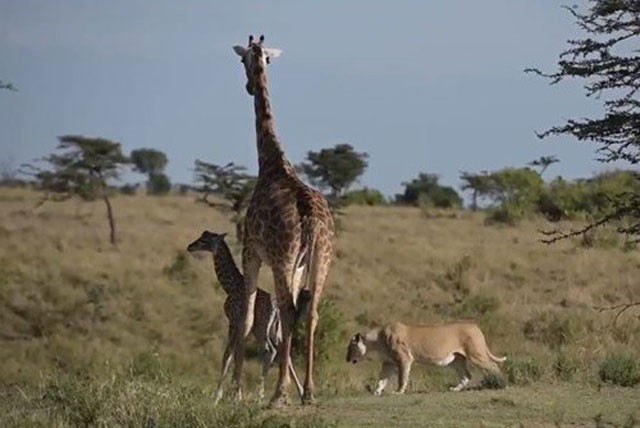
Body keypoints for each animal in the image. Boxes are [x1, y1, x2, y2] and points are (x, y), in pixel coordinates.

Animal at [185, 231, 310, 402]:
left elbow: (228, 355)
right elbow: (235, 354)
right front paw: (232, 393)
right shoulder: (241, 325)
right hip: (271, 330)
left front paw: (221, 395)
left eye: (205, 240)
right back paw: (295, 393)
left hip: (262, 328)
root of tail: (276, 309)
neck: (230, 286)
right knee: (282, 351)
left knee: (270, 351)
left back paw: (260, 395)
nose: (190, 246)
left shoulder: (234, 321)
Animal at [234, 35, 336, 406]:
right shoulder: (299, 265)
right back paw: (308, 391)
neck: (271, 163)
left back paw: (279, 393)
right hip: (320, 260)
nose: (249, 86)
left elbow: (247, 318)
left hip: (281, 259)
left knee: (291, 311)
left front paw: (235, 390)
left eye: (243, 60)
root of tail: (310, 217)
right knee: (313, 312)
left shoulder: (250, 251)